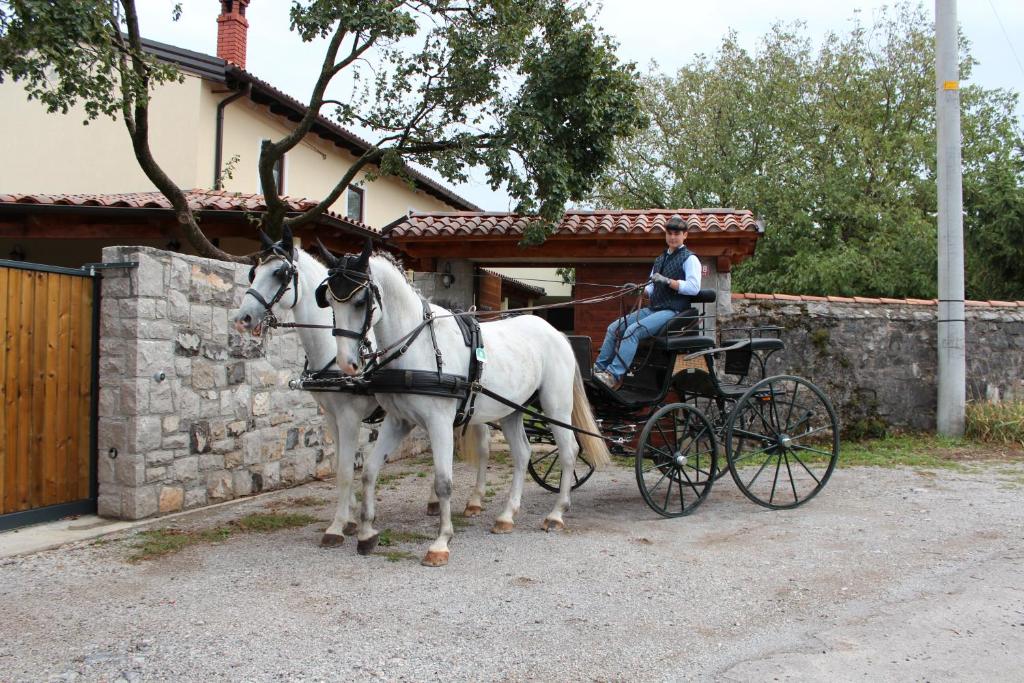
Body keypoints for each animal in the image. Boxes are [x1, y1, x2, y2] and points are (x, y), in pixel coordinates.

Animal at [231, 227, 491, 548]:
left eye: (280, 273)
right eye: (254, 272)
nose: (243, 318)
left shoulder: (350, 416)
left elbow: (345, 470)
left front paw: (338, 525)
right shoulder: (332, 416)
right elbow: (341, 468)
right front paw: (353, 518)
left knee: (483, 447)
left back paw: (475, 500)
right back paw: (433, 500)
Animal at [317, 240, 606, 565]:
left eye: (359, 301)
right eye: (329, 300)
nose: (347, 363)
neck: (418, 346)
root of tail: (556, 333)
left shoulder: (440, 422)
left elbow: (444, 482)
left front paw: (441, 542)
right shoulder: (398, 421)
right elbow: (368, 472)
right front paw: (366, 534)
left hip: (556, 406)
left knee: (568, 452)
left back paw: (556, 514)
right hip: (511, 410)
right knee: (522, 454)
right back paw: (506, 516)